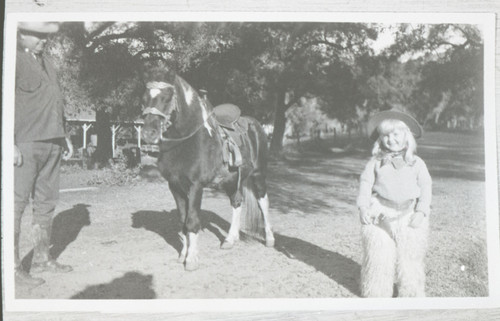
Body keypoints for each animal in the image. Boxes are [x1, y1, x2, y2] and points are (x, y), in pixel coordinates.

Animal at [141, 63, 276, 270]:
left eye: (167, 96)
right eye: (145, 97)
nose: (149, 133)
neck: (188, 139)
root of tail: (255, 124)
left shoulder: (196, 186)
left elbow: (192, 220)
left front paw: (191, 259)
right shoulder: (175, 186)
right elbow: (183, 220)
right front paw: (183, 254)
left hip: (259, 174)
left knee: (263, 202)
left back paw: (269, 239)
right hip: (233, 180)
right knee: (237, 202)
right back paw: (230, 239)